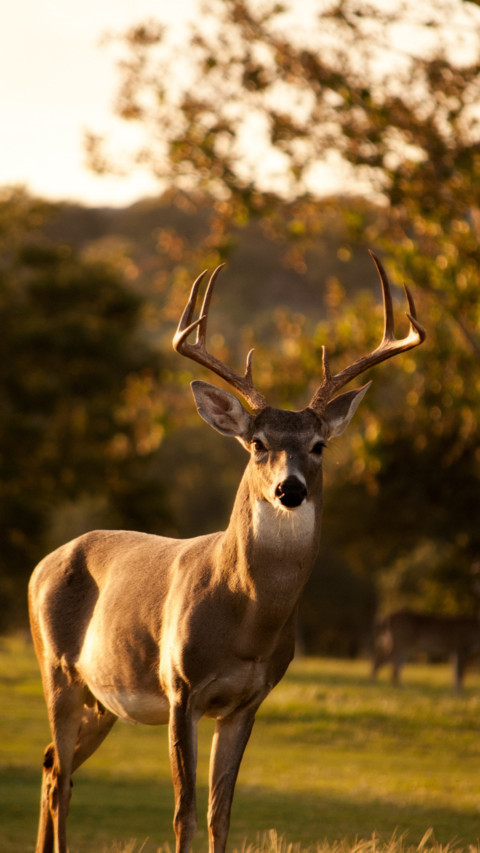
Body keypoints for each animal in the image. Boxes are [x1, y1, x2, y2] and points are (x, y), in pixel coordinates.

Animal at [28, 251, 424, 853]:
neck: (245, 622)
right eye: (258, 443)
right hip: (57, 669)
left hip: (102, 697)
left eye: (319, 445)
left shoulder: (247, 702)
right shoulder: (180, 688)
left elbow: (221, 814)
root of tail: (42, 565)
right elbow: (183, 813)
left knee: (53, 766)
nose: (290, 489)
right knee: (62, 775)